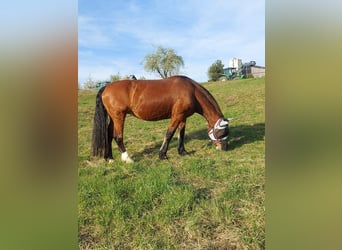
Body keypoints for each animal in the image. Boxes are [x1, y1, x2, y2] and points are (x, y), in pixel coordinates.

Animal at [91, 75, 230, 163]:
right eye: (222, 132)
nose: (224, 148)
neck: (191, 91)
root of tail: (106, 87)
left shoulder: (183, 117)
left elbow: (181, 134)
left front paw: (182, 152)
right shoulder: (177, 116)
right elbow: (169, 134)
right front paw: (162, 155)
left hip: (113, 118)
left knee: (108, 135)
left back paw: (109, 158)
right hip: (119, 116)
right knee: (117, 136)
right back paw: (127, 158)